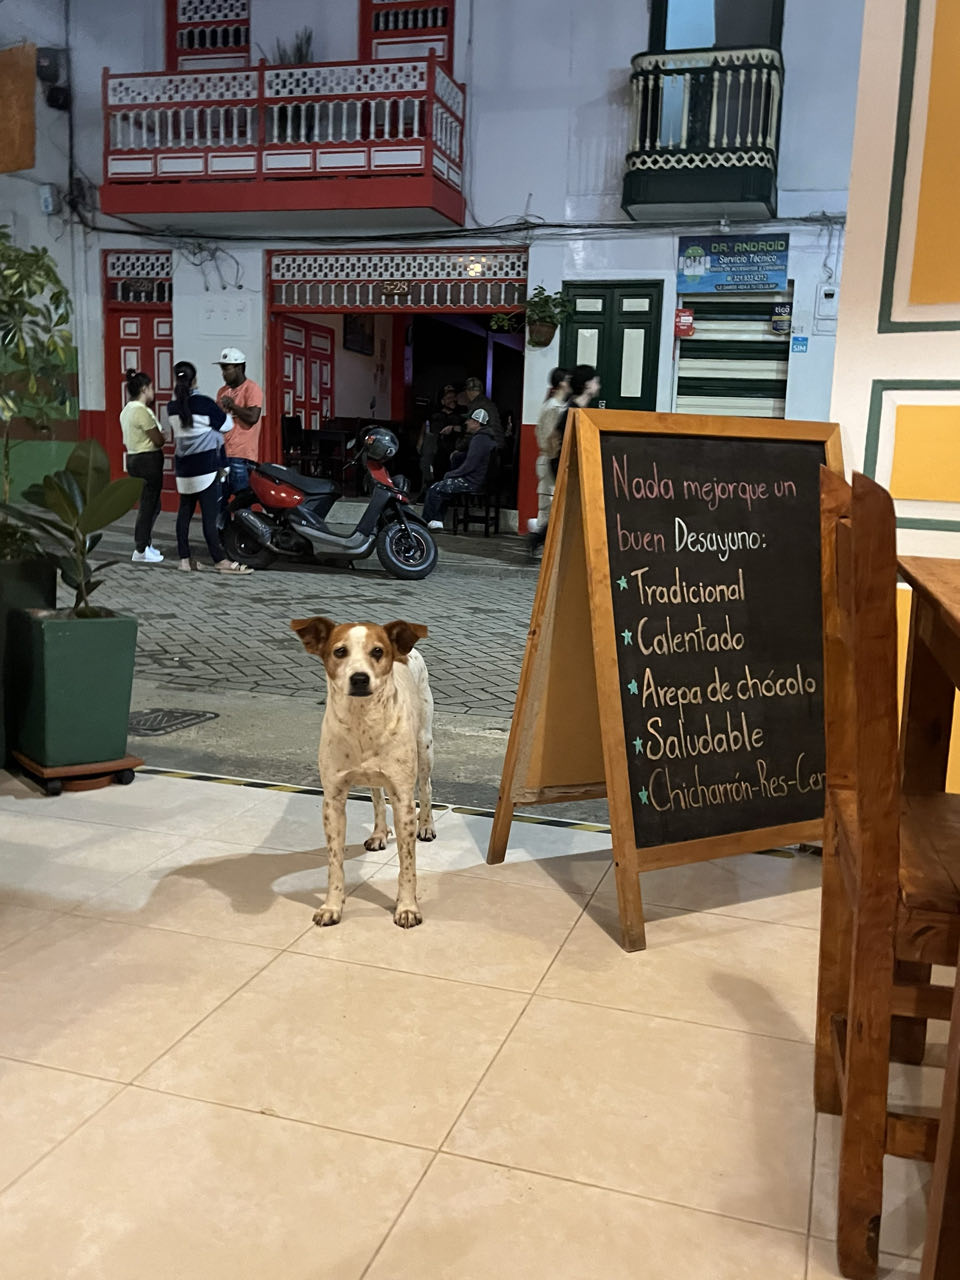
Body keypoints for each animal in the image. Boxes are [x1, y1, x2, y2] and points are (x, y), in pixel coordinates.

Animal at [290, 616, 436, 928]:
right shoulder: (333, 800)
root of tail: (407, 650)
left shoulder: (404, 801)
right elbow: (335, 863)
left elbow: (407, 865)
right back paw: (380, 832)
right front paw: (332, 906)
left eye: (377, 651)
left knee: (427, 787)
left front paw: (407, 907)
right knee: (377, 797)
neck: (362, 722)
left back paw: (427, 826)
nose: (359, 678)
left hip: (425, 745)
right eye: (340, 651)